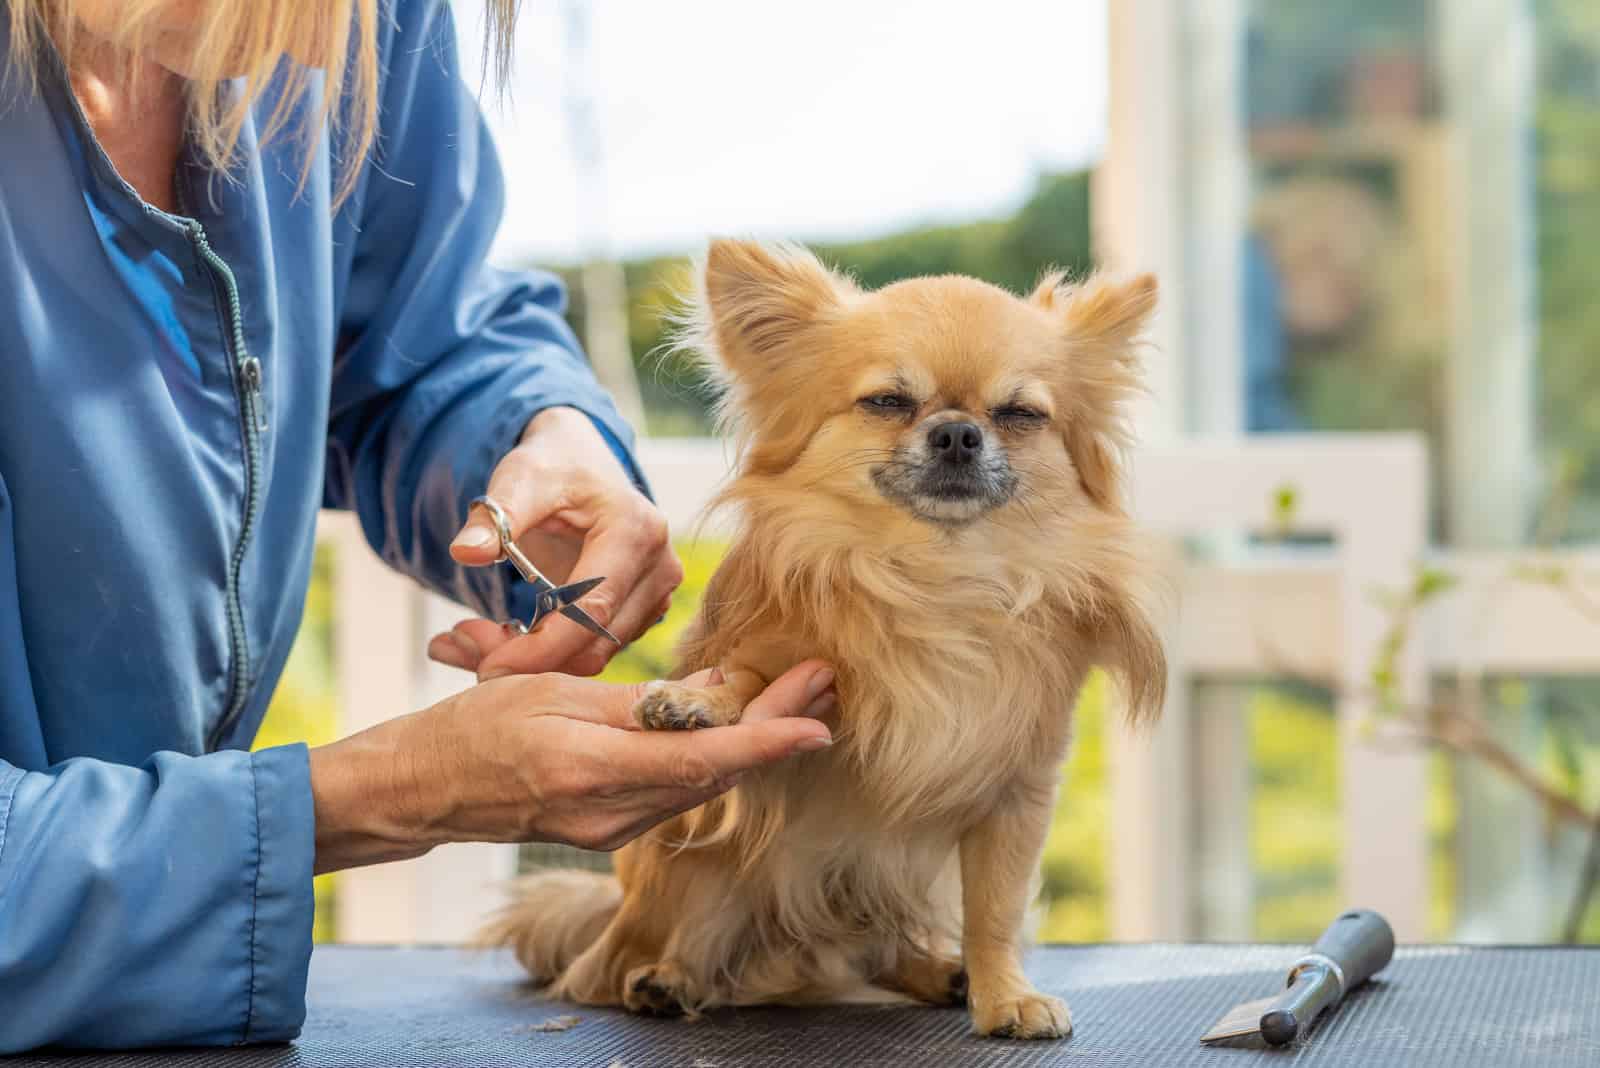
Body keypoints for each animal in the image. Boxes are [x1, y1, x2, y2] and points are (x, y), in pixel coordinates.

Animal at [473, 238, 1164, 1036]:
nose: (958, 432)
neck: (935, 580)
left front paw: (1006, 996)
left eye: (1020, 414)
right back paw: (665, 978)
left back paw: (939, 970)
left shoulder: (1016, 794)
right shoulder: (772, 668)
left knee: (878, 947)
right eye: (887, 401)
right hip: (697, 868)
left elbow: (994, 910)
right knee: (636, 959)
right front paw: (697, 704)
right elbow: (746, 678)